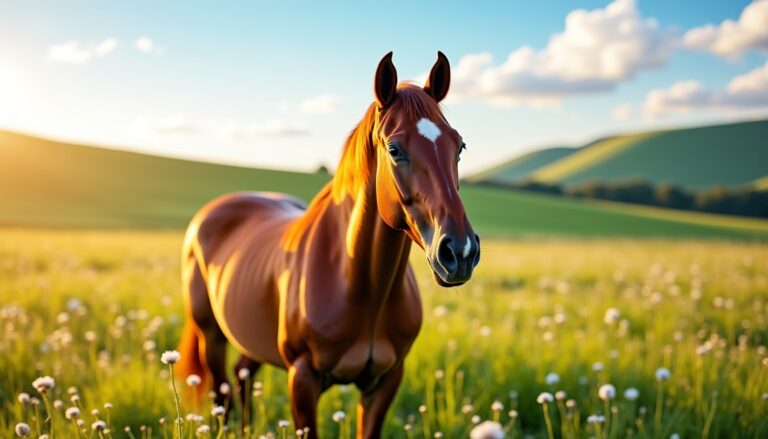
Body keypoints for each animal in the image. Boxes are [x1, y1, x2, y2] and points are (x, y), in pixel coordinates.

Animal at [176, 51, 480, 438]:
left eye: (459, 146)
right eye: (394, 149)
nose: (460, 252)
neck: (361, 286)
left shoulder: (385, 381)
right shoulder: (303, 379)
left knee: (242, 379)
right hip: (211, 335)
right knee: (221, 390)